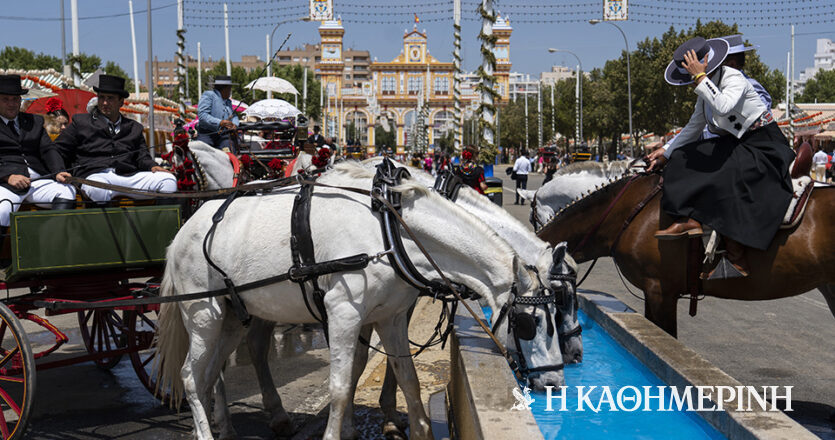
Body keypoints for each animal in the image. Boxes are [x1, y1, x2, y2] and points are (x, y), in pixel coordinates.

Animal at [157, 163, 560, 438]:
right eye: (530, 323)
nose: (554, 383)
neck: (391, 229)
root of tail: (181, 232)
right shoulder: (343, 314)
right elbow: (339, 385)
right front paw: (344, 429)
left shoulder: (391, 316)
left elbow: (407, 379)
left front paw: (413, 427)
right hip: (204, 314)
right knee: (191, 376)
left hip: (234, 315)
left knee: (212, 372)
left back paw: (225, 425)